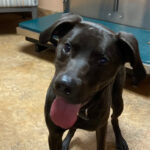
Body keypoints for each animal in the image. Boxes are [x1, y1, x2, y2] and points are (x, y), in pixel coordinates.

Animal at [39, 14, 146, 150]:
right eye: (67, 47)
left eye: (103, 60)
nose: (64, 86)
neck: (82, 110)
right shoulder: (53, 134)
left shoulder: (101, 129)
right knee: (73, 129)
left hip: (118, 102)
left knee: (114, 118)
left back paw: (120, 139)